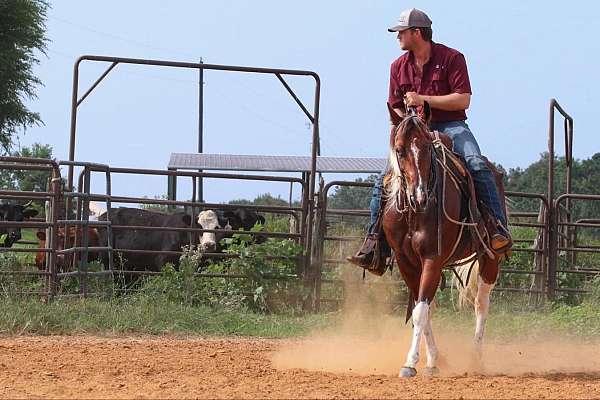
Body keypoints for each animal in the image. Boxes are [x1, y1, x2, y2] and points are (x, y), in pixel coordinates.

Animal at [382, 104, 504, 378]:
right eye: (399, 150)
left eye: (428, 147)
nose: (419, 197)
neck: (414, 213)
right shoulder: (407, 263)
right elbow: (423, 308)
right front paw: (432, 361)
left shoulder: (432, 259)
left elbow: (420, 312)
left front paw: (409, 363)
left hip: (490, 258)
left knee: (481, 304)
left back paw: (475, 358)